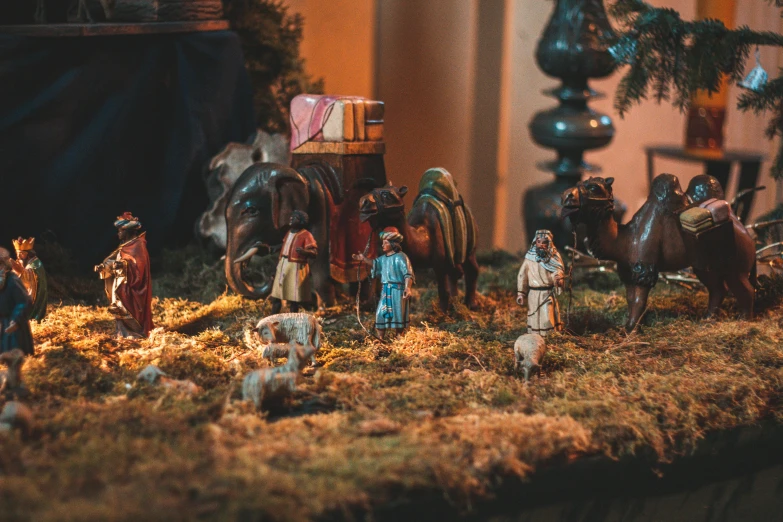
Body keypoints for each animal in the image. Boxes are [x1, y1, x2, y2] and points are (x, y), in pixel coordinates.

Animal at [360, 169, 480, 310]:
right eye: (373, 189)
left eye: (387, 194)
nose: (362, 201)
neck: (422, 237)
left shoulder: (439, 264)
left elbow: (442, 290)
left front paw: (443, 312)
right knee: (455, 272)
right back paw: (456, 300)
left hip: (470, 247)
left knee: (472, 270)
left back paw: (471, 303)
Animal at [560, 175, 756, 330]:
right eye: (579, 182)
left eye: (594, 187)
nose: (565, 196)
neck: (626, 239)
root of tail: (747, 235)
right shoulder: (629, 271)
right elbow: (631, 299)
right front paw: (633, 324)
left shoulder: (645, 268)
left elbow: (639, 300)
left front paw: (630, 330)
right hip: (705, 266)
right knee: (717, 289)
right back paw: (707, 319)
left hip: (734, 265)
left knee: (744, 289)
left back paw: (744, 321)